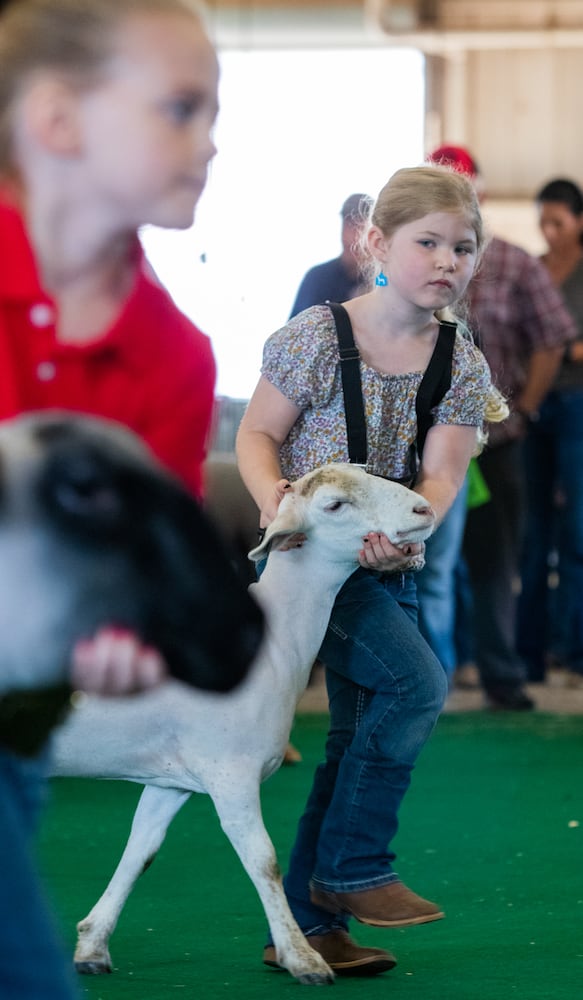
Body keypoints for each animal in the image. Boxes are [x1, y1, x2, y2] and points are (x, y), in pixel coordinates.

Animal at [52, 466, 436, 984]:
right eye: (335, 505)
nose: (424, 509)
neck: (275, 642)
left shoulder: (172, 779)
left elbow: (140, 852)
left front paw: (93, 945)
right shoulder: (230, 772)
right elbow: (264, 861)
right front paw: (303, 959)